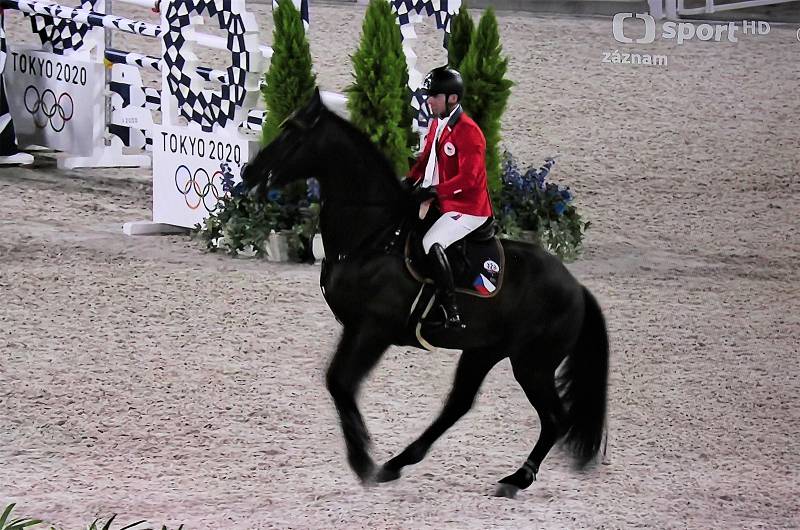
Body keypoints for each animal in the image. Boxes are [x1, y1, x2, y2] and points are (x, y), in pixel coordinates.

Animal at [244, 88, 608, 498]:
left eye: (292, 134)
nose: (248, 172)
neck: (373, 235)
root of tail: (576, 287)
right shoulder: (354, 326)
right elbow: (336, 381)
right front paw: (366, 459)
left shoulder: (374, 330)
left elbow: (342, 383)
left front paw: (362, 461)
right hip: (484, 351)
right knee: (458, 404)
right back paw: (398, 463)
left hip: (533, 364)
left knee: (554, 418)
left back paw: (517, 479)